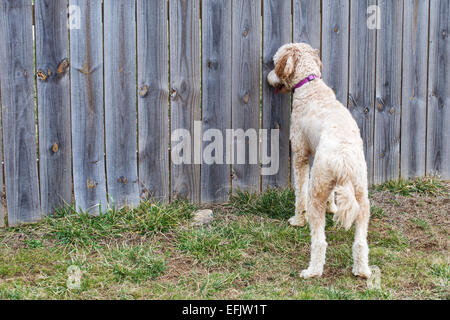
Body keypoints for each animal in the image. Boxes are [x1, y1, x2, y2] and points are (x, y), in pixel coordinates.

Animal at [268, 43, 370, 280]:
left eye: (275, 63)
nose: (269, 77)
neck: (309, 83)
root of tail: (344, 159)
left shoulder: (300, 154)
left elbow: (299, 192)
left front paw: (297, 219)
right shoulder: (319, 163)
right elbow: (332, 195)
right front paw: (332, 207)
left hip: (317, 193)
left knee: (319, 241)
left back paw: (312, 271)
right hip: (361, 196)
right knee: (361, 242)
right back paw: (362, 271)